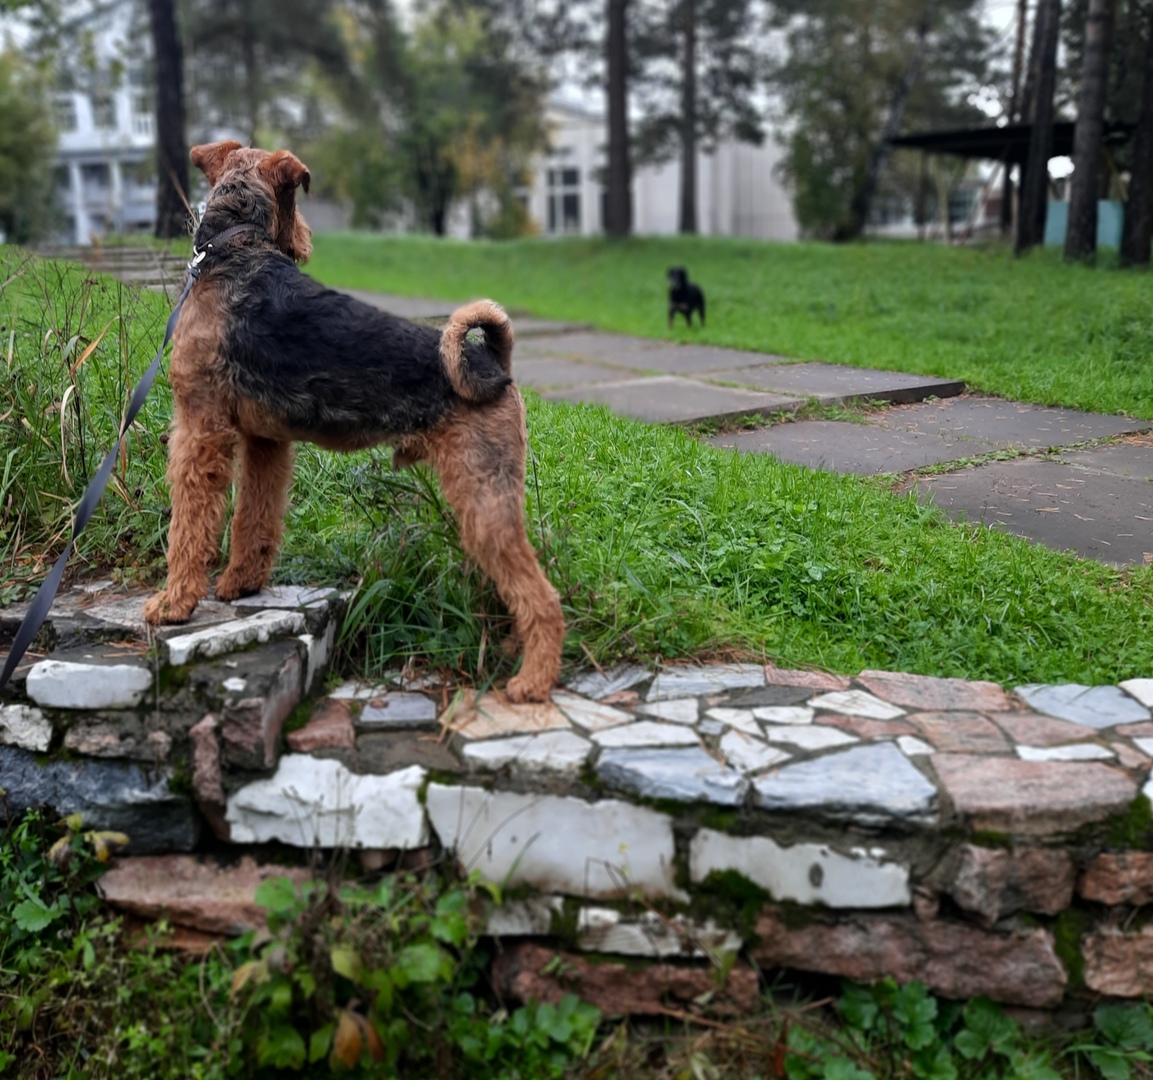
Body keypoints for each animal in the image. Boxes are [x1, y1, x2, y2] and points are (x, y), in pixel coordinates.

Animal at [142, 141, 565, 703]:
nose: (305, 244)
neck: (234, 247)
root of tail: (492, 361)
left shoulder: (199, 429)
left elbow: (188, 526)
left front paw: (172, 603)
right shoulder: (264, 441)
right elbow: (253, 516)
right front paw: (240, 583)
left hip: (481, 494)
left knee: (541, 596)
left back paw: (531, 681)